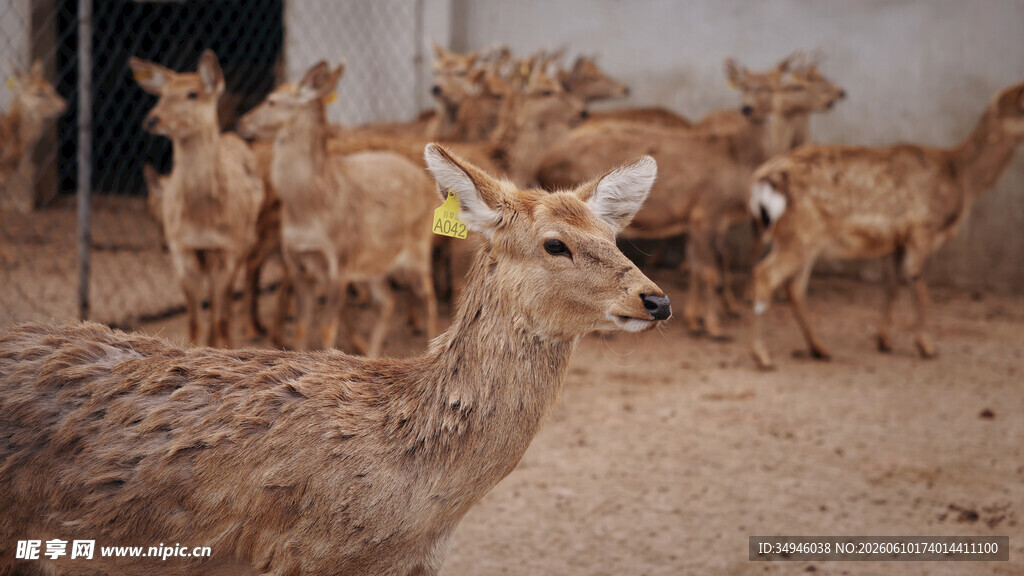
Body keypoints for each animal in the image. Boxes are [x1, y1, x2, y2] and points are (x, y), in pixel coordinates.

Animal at [130, 50, 264, 348]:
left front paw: (223, 347)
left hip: (246, 241)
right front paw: (193, 347)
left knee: (224, 302)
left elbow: (221, 315)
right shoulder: (181, 248)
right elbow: (193, 320)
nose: (152, 120)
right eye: (162, 94)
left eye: (193, 93)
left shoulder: (229, 248)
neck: (203, 218)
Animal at [238, 62, 438, 355]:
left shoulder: (340, 262)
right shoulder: (297, 261)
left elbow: (326, 328)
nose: (242, 122)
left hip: (417, 249)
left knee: (428, 297)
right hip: (373, 259)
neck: (310, 209)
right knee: (387, 301)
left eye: (272, 100)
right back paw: (371, 354)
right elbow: (301, 326)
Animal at [536, 55, 845, 340]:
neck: (737, 162)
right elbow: (708, 270)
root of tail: (543, 162)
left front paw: (698, 318)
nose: (748, 108)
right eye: (746, 86)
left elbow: (703, 265)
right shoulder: (706, 211)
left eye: (773, 86)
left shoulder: (705, 219)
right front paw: (712, 326)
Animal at [747, 81, 1024, 370]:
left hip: (803, 238)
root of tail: (760, 182)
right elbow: (919, 284)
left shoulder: (897, 239)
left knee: (794, 287)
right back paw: (762, 355)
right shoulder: (922, 228)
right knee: (766, 275)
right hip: (800, 233)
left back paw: (819, 349)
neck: (962, 181)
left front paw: (884, 341)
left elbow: (892, 284)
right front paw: (926, 346)